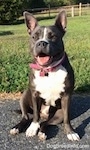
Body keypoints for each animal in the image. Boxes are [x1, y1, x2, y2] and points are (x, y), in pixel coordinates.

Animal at [10, 10, 80, 142]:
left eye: (53, 36)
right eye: (34, 37)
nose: (41, 43)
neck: (48, 70)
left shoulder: (66, 97)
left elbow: (67, 118)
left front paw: (70, 132)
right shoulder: (35, 94)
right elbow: (35, 116)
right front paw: (32, 128)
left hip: (58, 115)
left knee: (45, 122)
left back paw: (42, 133)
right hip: (24, 96)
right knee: (27, 117)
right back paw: (17, 128)